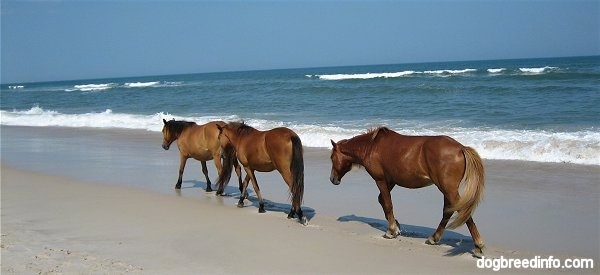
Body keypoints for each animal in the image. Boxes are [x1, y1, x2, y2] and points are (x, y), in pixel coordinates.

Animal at [328, 127, 488, 258]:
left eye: (332, 158)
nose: (332, 179)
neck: (371, 147)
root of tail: (461, 148)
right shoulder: (391, 181)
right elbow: (382, 201)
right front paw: (396, 226)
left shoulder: (381, 180)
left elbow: (387, 203)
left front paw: (391, 230)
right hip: (447, 189)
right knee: (448, 211)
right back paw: (434, 238)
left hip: (448, 188)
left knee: (461, 211)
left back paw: (478, 246)